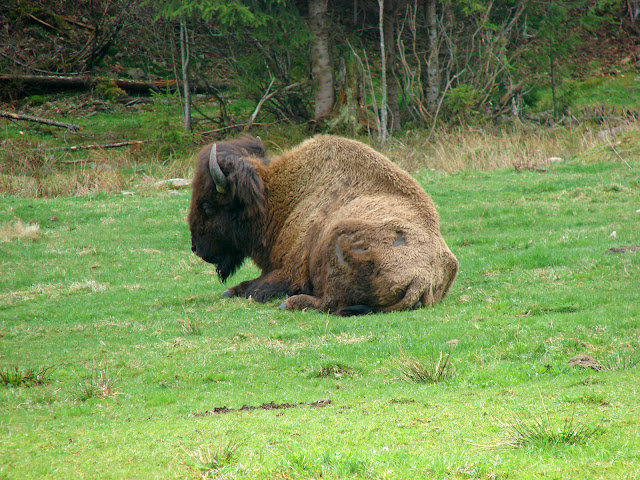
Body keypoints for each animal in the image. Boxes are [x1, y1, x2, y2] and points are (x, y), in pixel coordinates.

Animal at [188, 134, 458, 316]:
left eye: (208, 206)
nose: (196, 249)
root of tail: (422, 277)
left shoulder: (290, 271)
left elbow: (256, 286)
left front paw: (233, 292)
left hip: (338, 239)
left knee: (329, 302)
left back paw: (290, 303)